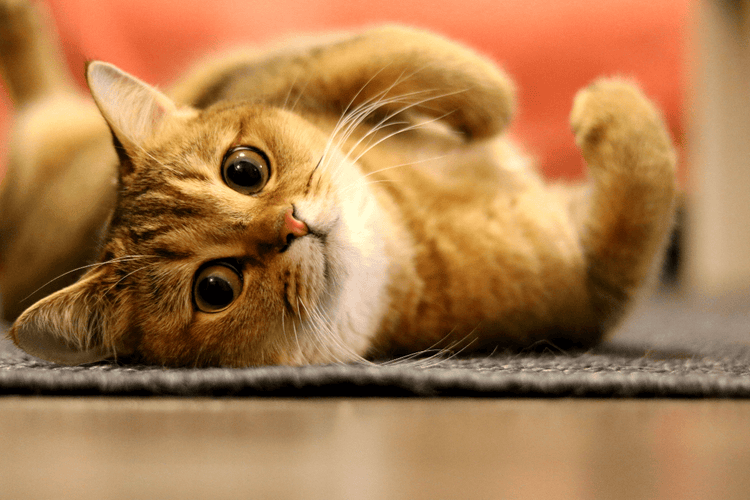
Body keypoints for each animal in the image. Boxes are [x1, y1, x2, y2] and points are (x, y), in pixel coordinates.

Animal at [0, 0, 680, 368]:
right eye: (215, 288)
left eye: (243, 169)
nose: (291, 225)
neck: (410, 225)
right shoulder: (595, 284)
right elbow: (646, 191)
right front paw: (605, 106)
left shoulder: (293, 69)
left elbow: (405, 51)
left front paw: (487, 106)